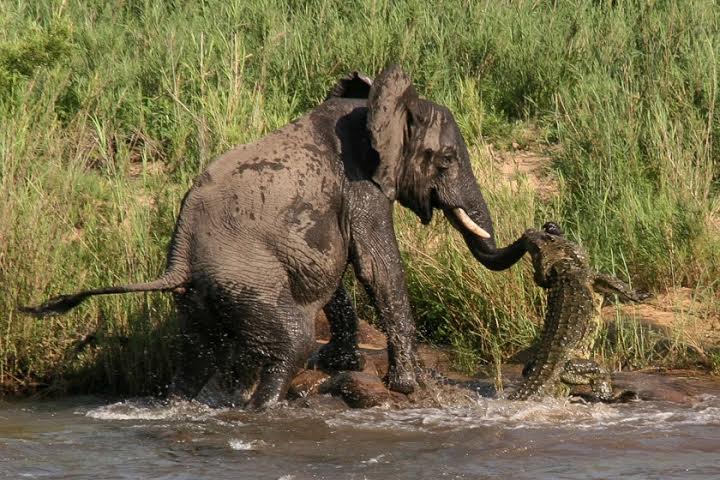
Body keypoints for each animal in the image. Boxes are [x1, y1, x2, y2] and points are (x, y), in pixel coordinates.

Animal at [22, 64, 524, 408]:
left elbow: (339, 271)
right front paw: (409, 384)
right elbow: (376, 266)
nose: (540, 231)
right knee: (290, 345)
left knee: (195, 361)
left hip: (202, 300)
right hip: (248, 283)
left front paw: (344, 366)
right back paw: (262, 409)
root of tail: (178, 260)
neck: (374, 107)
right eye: (446, 160)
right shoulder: (360, 186)